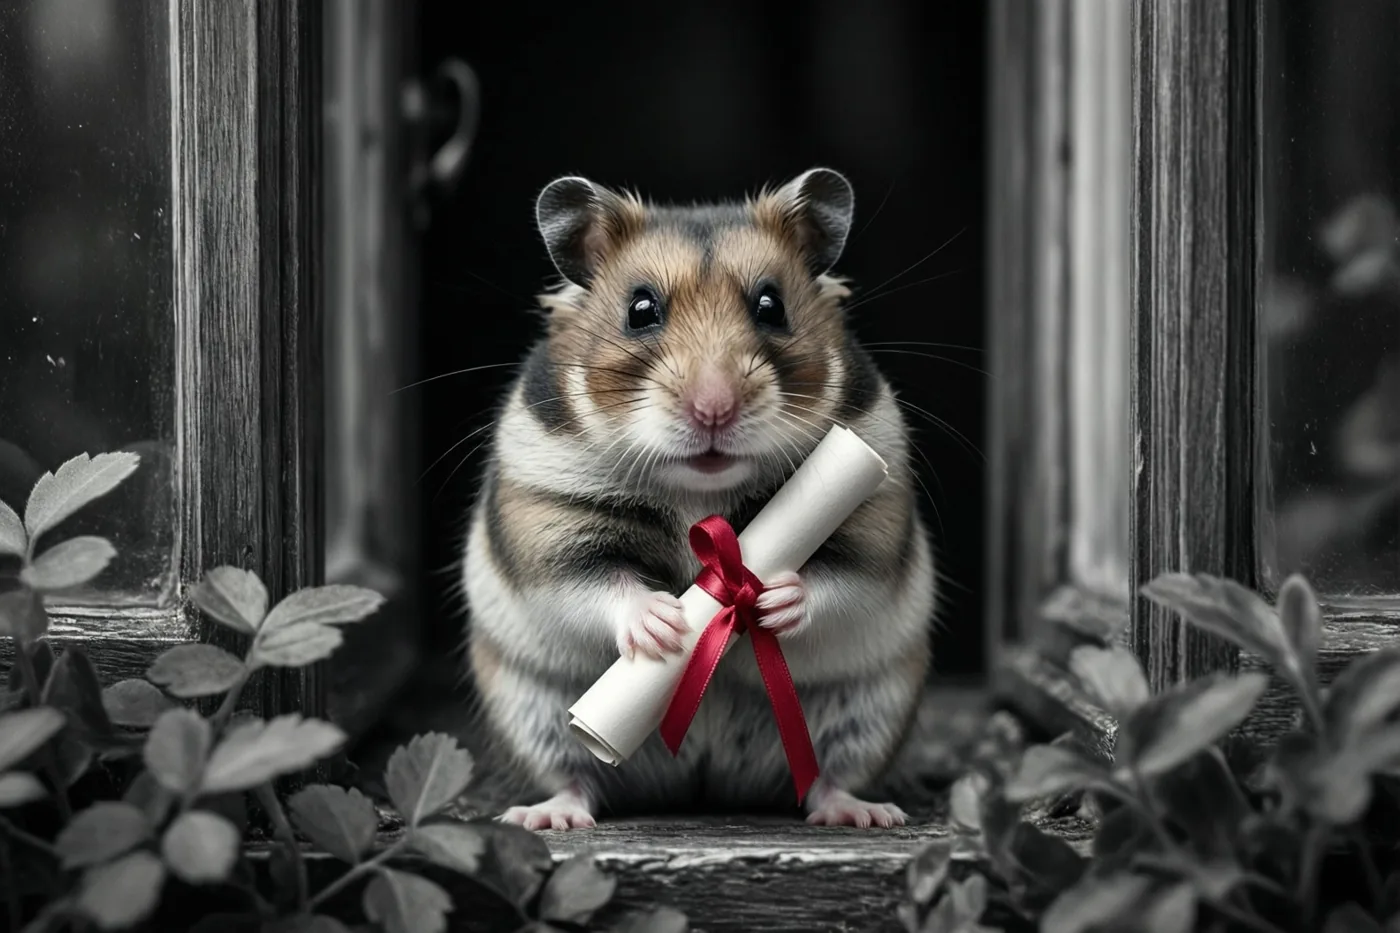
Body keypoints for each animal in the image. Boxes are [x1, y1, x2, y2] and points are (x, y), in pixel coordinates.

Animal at [462, 167, 936, 829]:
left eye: (771, 306)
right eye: (640, 310)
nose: (714, 409)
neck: (698, 490)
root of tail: (703, 782)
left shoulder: (874, 521)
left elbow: (837, 579)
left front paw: (776, 600)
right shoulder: (546, 521)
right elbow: (593, 581)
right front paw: (662, 623)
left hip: (871, 708)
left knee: (829, 779)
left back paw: (866, 814)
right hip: (534, 712)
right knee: (575, 776)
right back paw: (544, 817)